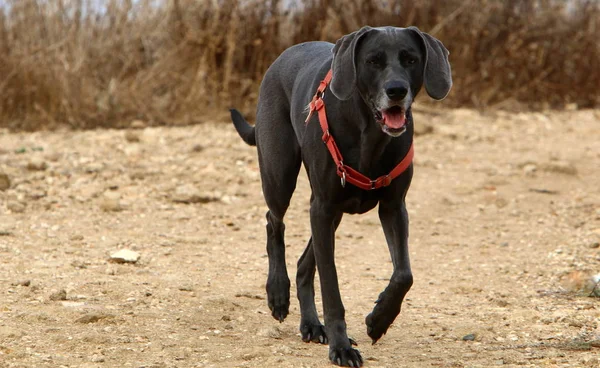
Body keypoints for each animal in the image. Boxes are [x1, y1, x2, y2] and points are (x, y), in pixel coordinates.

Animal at [229, 25, 450, 366]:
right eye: (373, 61)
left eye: (411, 59)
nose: (397, 90)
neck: (369, 135)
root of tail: (283, 55)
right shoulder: (322, 207)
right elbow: (331, 287)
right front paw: (342, 347)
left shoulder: (392, 208)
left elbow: (404, 274)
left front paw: (378, 319)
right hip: (281, 176)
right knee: (273, 221)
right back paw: (278, 293)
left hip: (331, 214)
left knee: (304, 263)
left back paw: (311, 325)